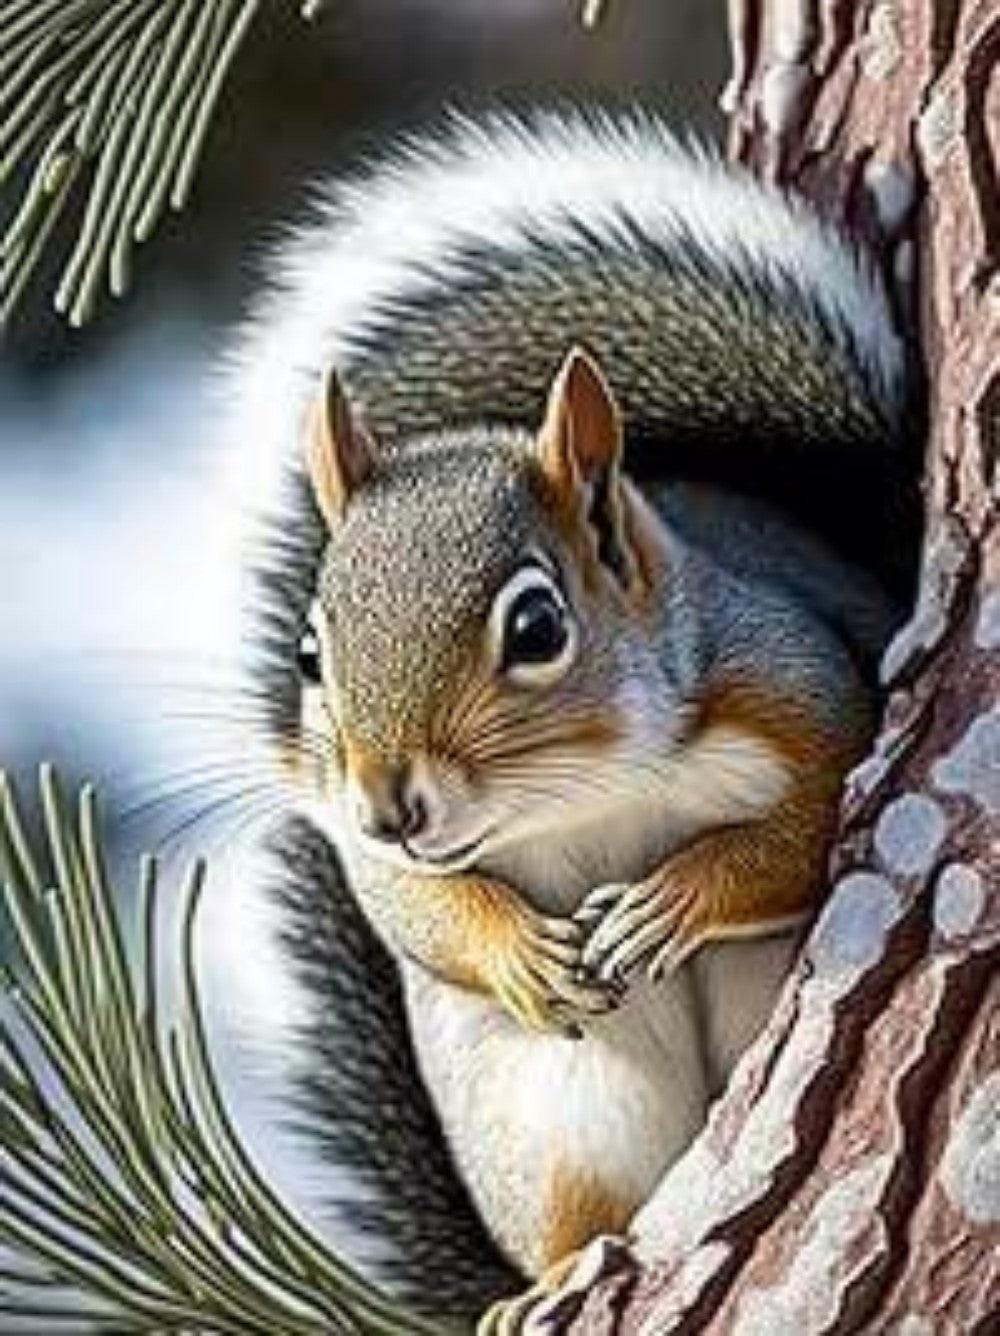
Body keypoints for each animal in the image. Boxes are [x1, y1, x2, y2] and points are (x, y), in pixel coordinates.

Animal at [212, 109, 919, 1332]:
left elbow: (807, 826)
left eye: (537, 626)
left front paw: (670, 900)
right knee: (581, 1208)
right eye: (308, 653)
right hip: (555, 1115)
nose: (390, 805)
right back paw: (554, 1279)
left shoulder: (795, 680)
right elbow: (413, 905)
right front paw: (519, 952)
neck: (578, 794)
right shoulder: (370, 842)